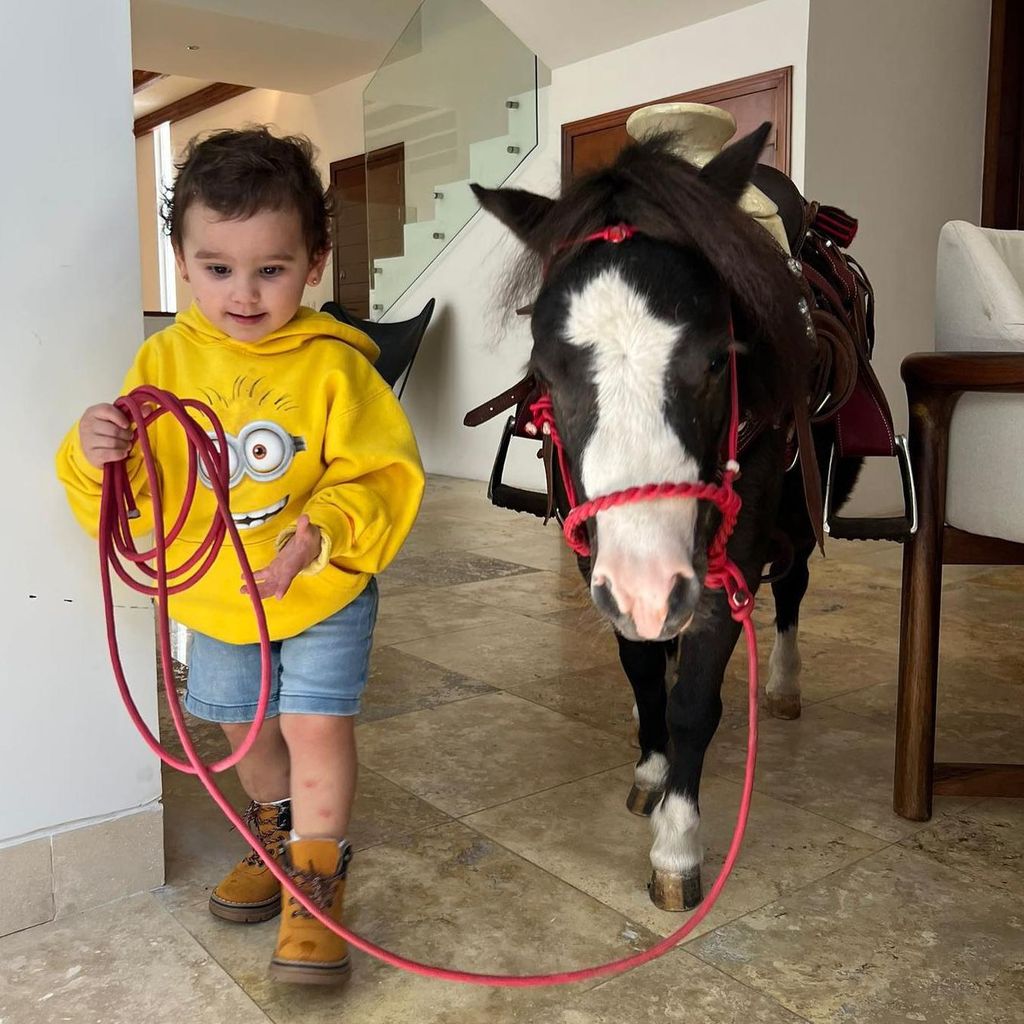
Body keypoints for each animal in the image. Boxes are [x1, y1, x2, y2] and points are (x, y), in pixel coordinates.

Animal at [473, 123, 864, 909]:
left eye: (718, 359)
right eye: (545, 370)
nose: (649, 586)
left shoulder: (729, 560)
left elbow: (694, 700)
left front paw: (677, 845)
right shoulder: (596, 559)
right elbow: (642, 670)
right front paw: (652, 766)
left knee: (793, 593)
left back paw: (783, 685)